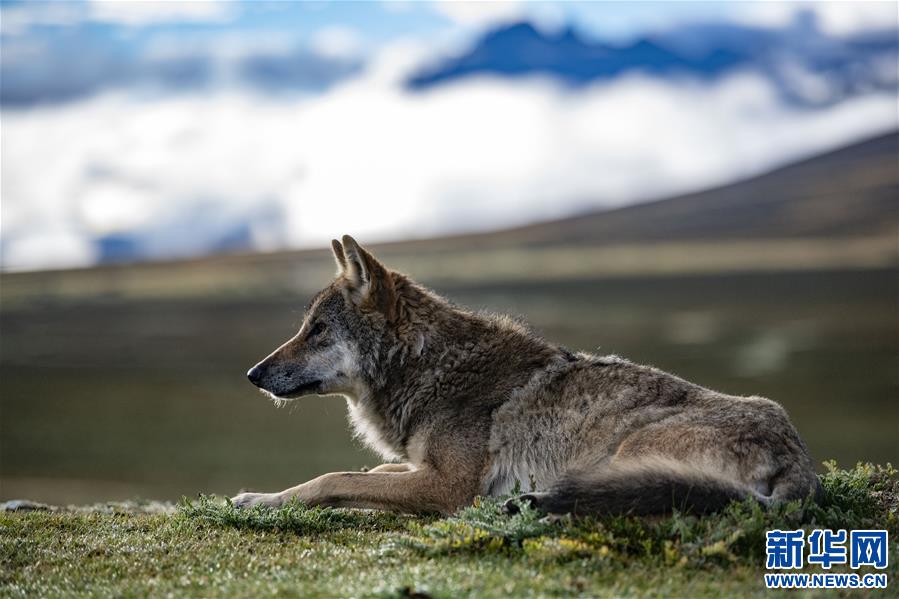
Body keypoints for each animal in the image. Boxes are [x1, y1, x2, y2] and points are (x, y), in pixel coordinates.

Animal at [234, 234, 824, 516]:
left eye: (317, 330)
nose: (253, 373)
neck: (430, 367)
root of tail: (799, 459)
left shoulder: (450, 487)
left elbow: (333, 479)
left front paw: (261, 501)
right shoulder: (423, 469)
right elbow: (369, 472)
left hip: (629, 455)